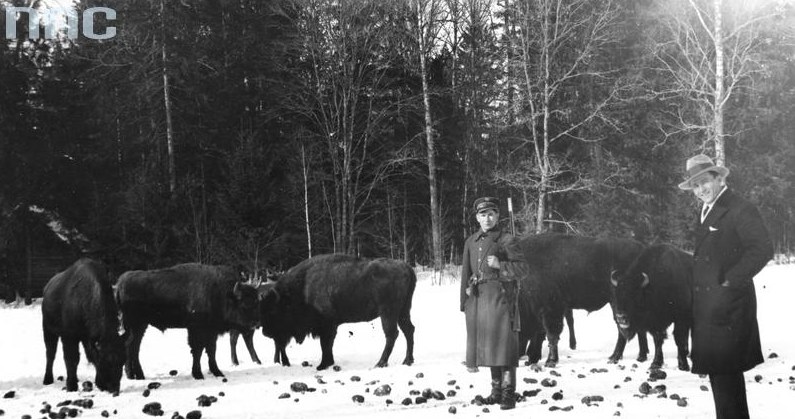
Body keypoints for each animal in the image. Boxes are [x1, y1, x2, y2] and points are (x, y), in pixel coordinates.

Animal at [41, 260, 125, 394]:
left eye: (123, 361)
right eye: (105, 361)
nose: (114, 388)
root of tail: (47, 287)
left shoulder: (88, 338)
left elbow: (87, 356)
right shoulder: (69, 337)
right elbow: (71, 359)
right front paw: (71, 386)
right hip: (48, 330)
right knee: (50, 353)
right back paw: (47, 379)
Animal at [116, 266, 258, 380]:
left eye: (256, 301)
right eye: (244, 304)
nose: (255, 324)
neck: (222, 294)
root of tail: (120, 283)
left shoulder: (211, 331)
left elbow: (211, 350)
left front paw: (217, 372)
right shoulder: (196, 330)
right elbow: (197, 351)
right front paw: (198, 374)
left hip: (139, 326)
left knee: (132, 346)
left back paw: (134, 375)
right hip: (136, 325)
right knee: (131, 346)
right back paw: (136, 375)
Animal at [260, 253, 416, 370]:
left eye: (273, 310)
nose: (265, 332)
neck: (302, 288)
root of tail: (406, 267)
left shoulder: (327, 325)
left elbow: (325, 344)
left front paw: (322, 365)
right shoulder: (329, 326)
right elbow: (327, 345)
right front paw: (328, 363)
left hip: (388, 313)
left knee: (392, 334)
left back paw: (381, 363)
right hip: (403, 311)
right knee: (408, 330)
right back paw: (407, 361)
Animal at [500, 235, 648, 370]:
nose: (516, 356)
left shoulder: (551, 310)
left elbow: (551, 335)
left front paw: (550, 361)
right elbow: (541, 335)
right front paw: (533, 359)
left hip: (618, 303)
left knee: (622, 328)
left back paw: (615, 357)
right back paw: (640, 356)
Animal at [612, 244, 692, 372]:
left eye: (635, 295)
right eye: (616, 295)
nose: (620, 317)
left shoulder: (681, 318)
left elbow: (678, 338)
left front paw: (683, 366)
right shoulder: (656, 323)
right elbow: (658, 340)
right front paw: (656, 363)